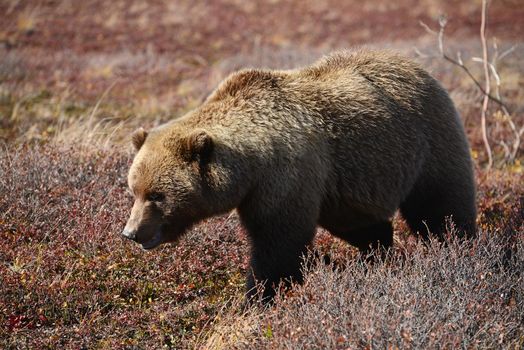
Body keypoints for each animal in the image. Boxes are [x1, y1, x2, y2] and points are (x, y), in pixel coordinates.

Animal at [122, 48, 474, 300]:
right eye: (134, 190)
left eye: (157, 195)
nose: (131, 232)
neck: (252, 164)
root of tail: (417, 66)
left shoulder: (284, 180)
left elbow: (279, 247)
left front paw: (256, 297)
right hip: (344, 184)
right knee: (361, 224)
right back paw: (377, 255)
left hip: (427, 144)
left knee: (441, 209)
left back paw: (458, 251)